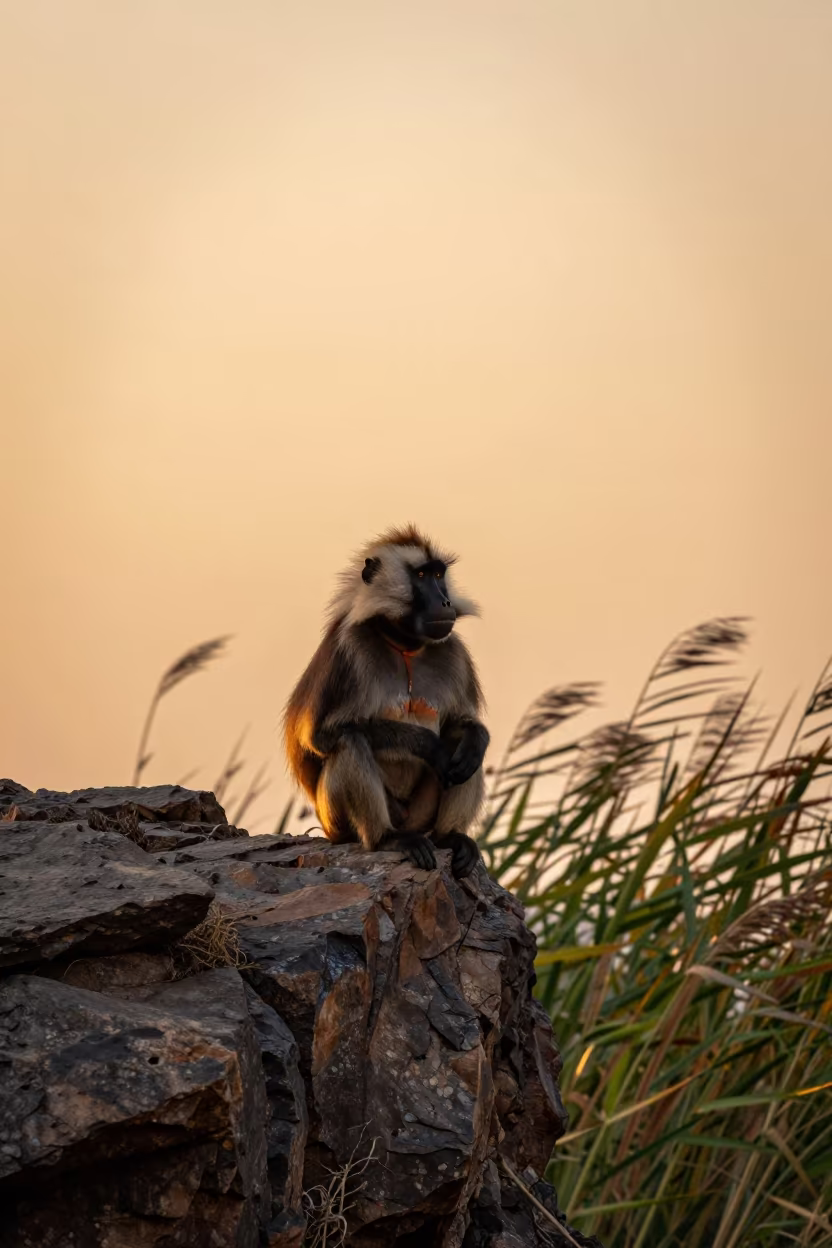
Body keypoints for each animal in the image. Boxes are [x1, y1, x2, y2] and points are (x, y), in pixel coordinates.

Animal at [283, 525, 490, 878]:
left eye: (439, 574)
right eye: (420, 575)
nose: (445, 601)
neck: (405, 646)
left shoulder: (455, 652)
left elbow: (463, 725)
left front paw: (475, 737)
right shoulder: (347, 652)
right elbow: (320, 737)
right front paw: (427, 745)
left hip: (420, 817)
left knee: (464, 751)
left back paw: (449, 836)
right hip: (338, 822)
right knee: (350, 740)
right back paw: (387, 839)